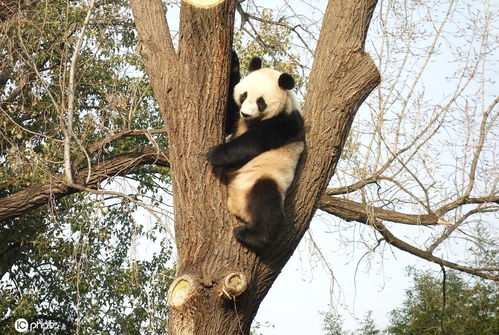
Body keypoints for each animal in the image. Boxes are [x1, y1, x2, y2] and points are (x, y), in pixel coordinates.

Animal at [207, 55, 304, 255]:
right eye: (244, 95)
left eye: (261, 102)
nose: (246, 114)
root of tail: (239, 209)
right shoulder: (237, 118)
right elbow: (228, 118)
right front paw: (233, 61)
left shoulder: (287, 123)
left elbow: (254, 141)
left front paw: (215, 154)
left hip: (264, 177)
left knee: (266, 200)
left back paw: (253, 236)